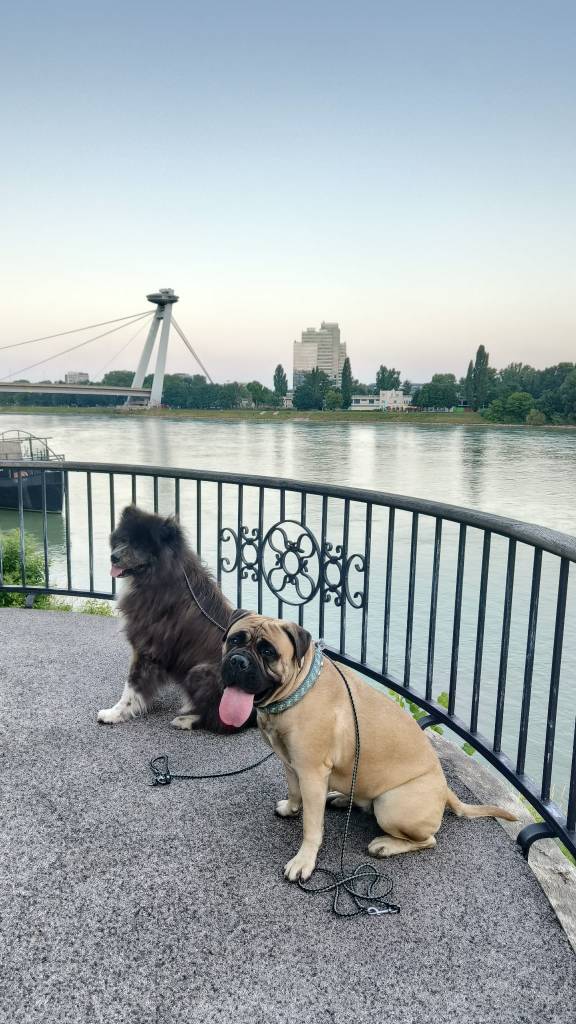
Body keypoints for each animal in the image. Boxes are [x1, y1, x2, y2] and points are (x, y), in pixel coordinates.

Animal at [97, 504, 237, 731]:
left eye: (139, 546)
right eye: (124, 539)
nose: (113, 557)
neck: (159, 576)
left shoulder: (146, 647)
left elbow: (131, 687)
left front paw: (114, 714)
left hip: (199, 672)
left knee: (224, 720)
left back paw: (187, 719)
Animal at [219, 612, 518, 881]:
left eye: (268, 651)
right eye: (234, 639)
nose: (238, 660)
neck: (296, 690)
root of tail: (446, 791)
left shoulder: (311, 772)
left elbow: (311, 826)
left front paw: (304, 861)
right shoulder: (291, 764)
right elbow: (294, 792)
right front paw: (291, 808)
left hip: (392, 806)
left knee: (428, 839)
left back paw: (385, 844)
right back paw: (339, 798)